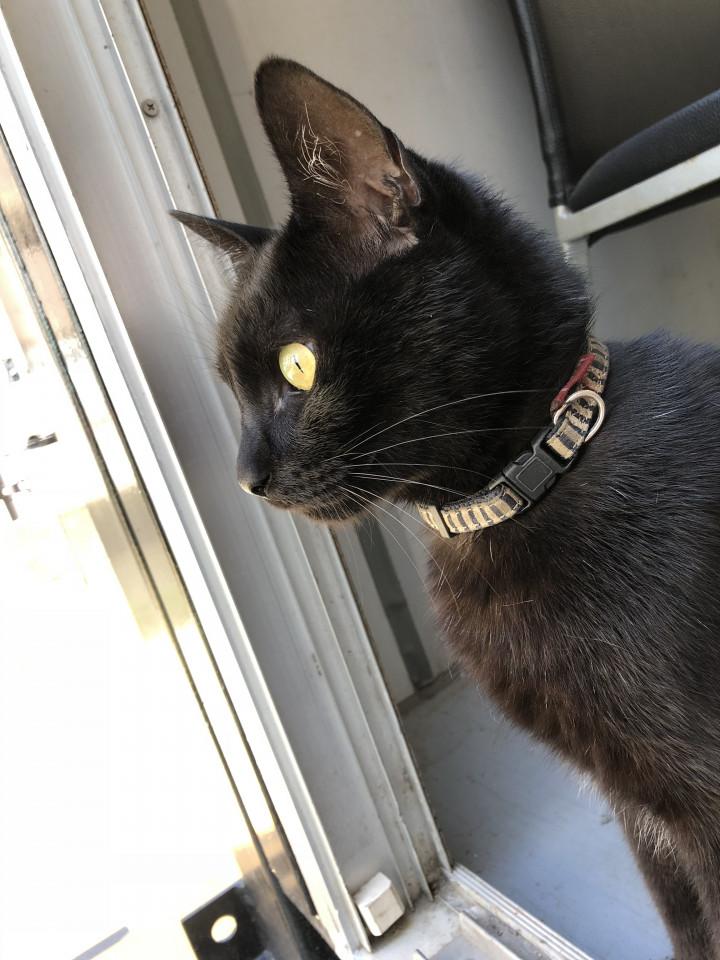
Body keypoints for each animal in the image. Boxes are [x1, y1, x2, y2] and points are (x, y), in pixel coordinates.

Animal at [174, 58, 720, 960]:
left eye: (298, 366)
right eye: (229, 388)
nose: (245, 475)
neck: (534, 475)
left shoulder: (697, 799)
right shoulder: (645, 813)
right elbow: (689, 931)